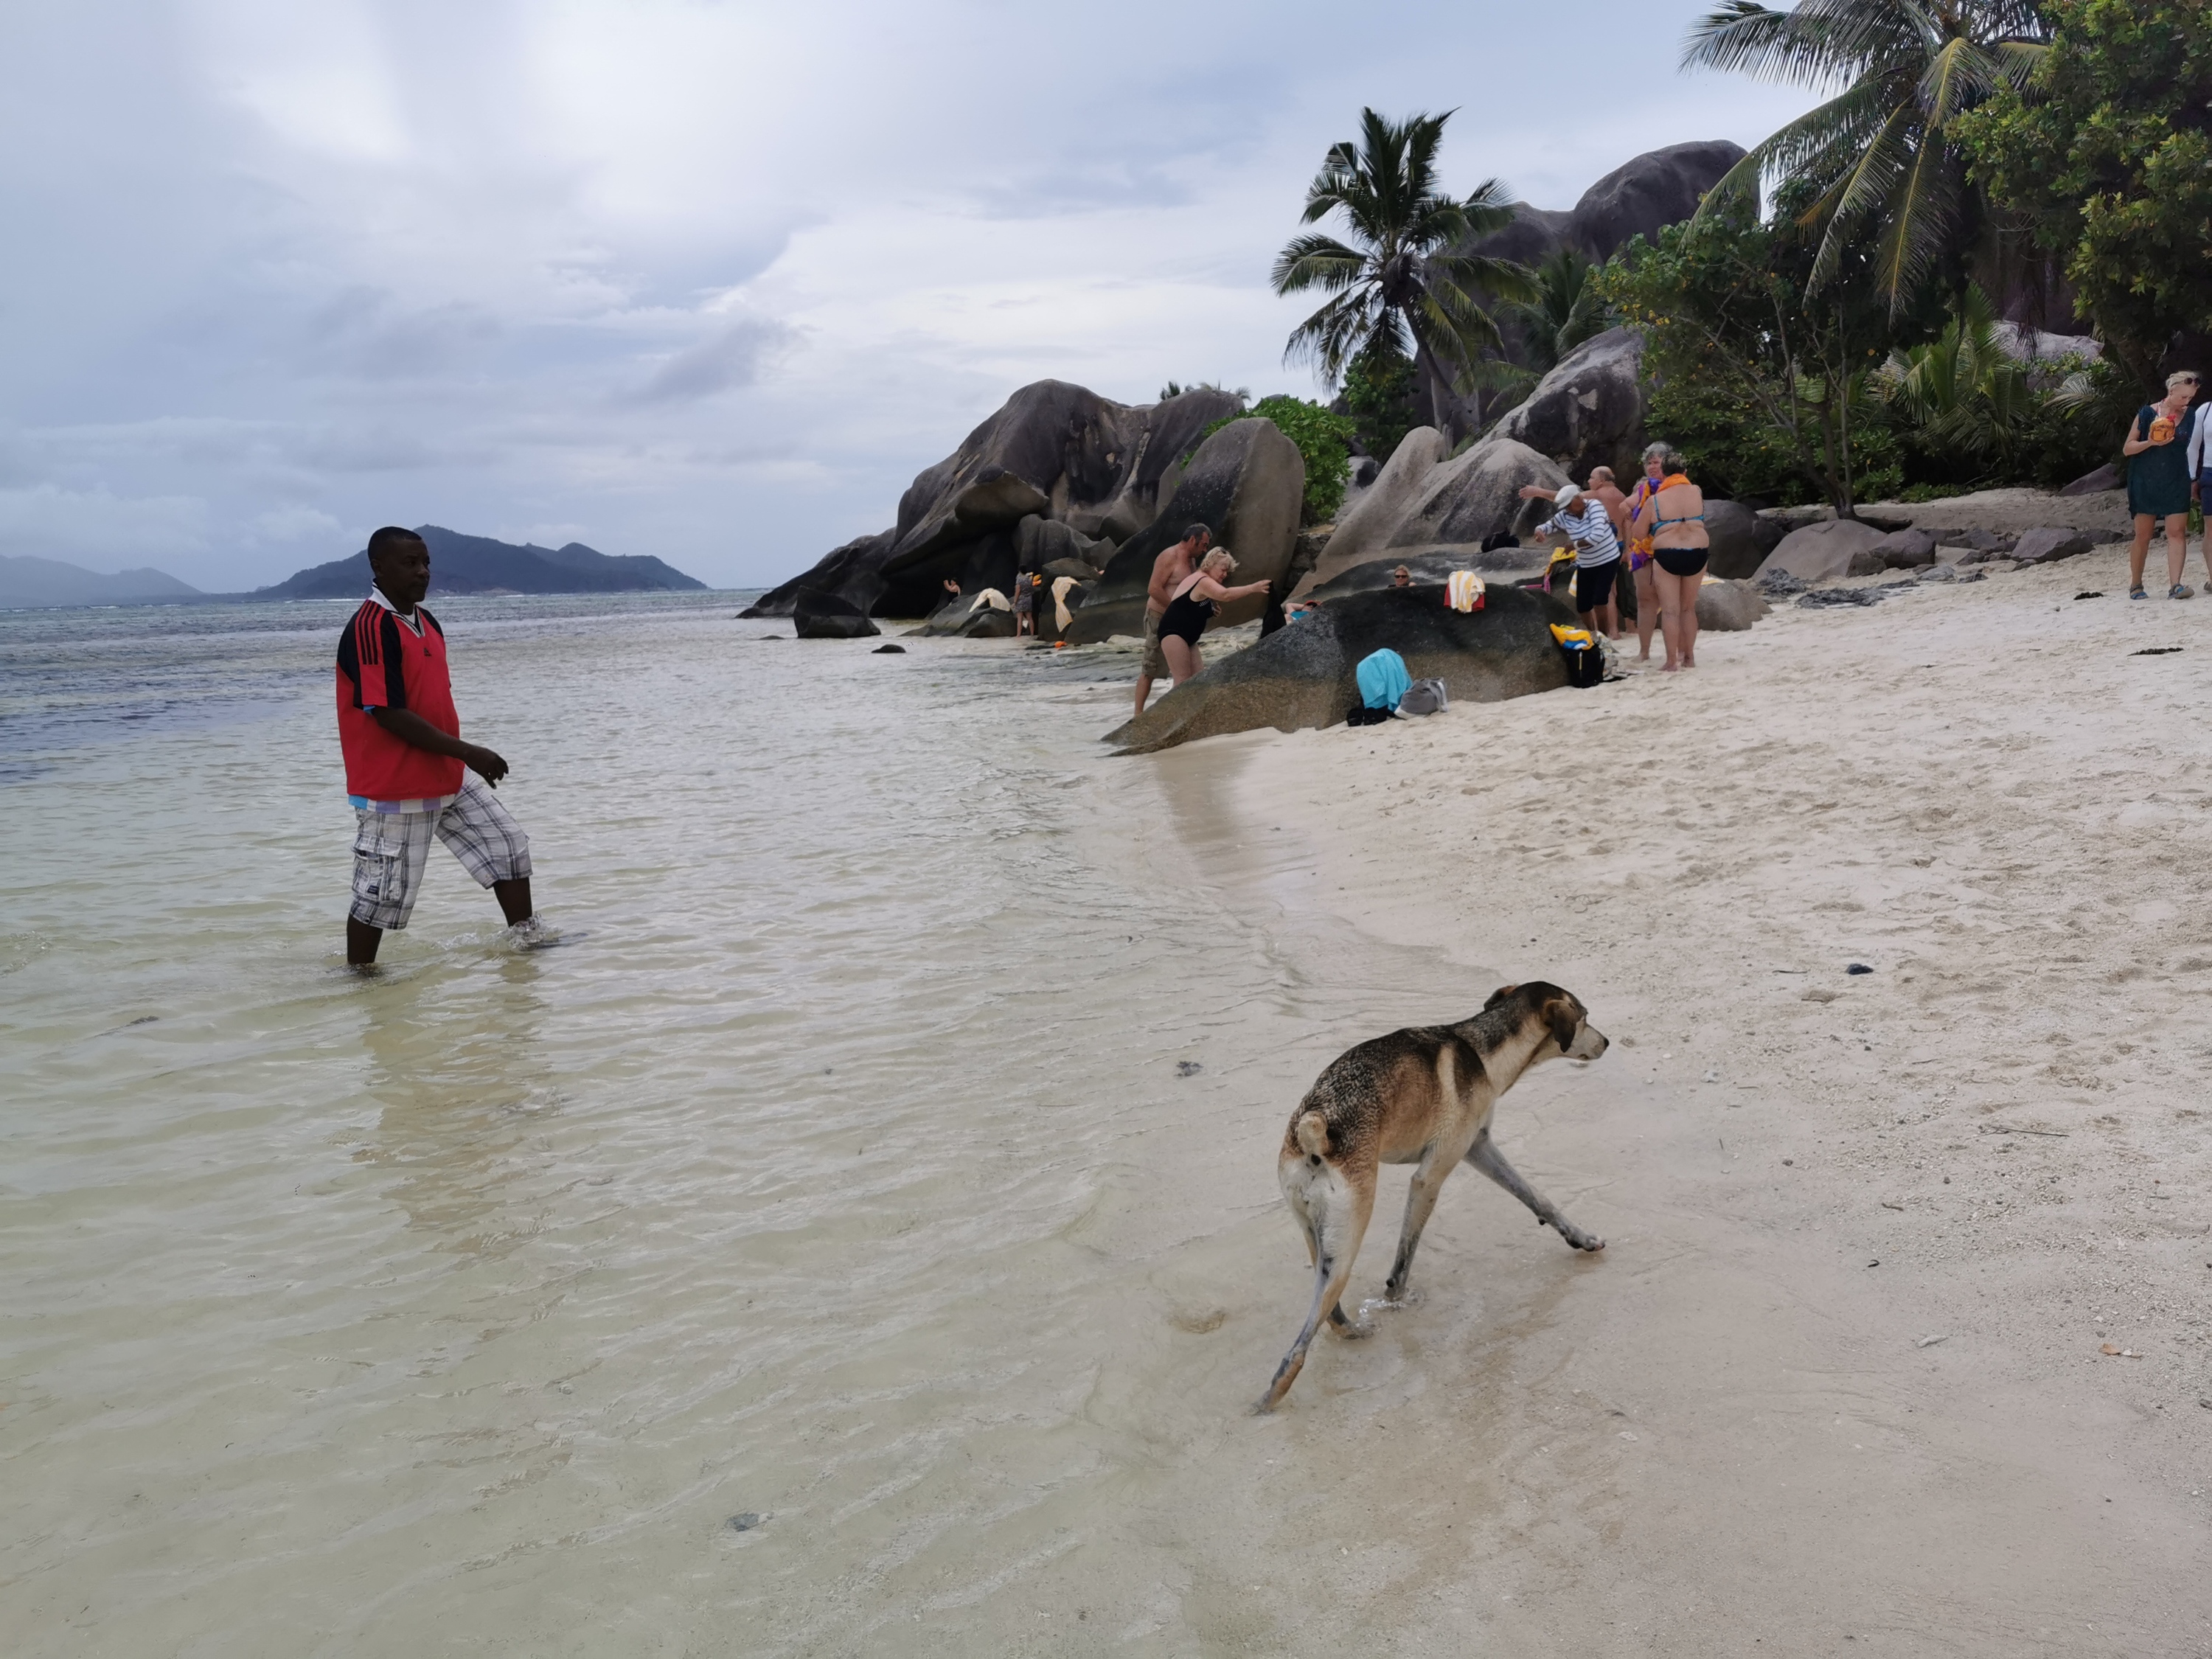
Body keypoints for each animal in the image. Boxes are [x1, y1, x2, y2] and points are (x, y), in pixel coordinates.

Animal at [1265, 987, 1610, 1416]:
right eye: (1584, 1017)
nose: (1607, 1042)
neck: (1482, 1051)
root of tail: (1315, 1128)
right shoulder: (1429, 1178)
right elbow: (1402, 1264)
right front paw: (1397, 1300)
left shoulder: (1479, 1148)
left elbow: (1537, 1198)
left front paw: (1580, 1238)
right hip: (1349, 1236)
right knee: (1294, 1355)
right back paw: (1269, 1402)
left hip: (1318, 1237)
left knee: (1327, 1313)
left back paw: (1350, 1332)